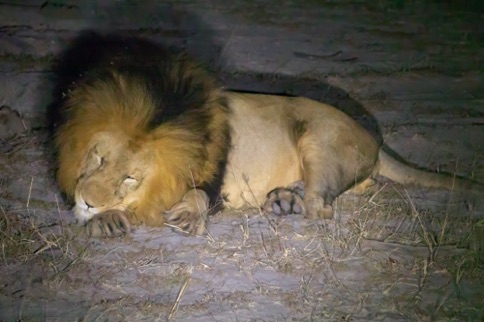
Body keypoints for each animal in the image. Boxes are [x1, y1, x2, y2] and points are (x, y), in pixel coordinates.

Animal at [54, 35, 482, 238]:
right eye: (98, 158)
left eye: (131, 176)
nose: (88, 202)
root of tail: (374, 137)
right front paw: (103, 219)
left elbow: (192, 196)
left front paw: (183, 214)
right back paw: (282, 199)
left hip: (316, 136)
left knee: (322, 207)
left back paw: (286, 203)